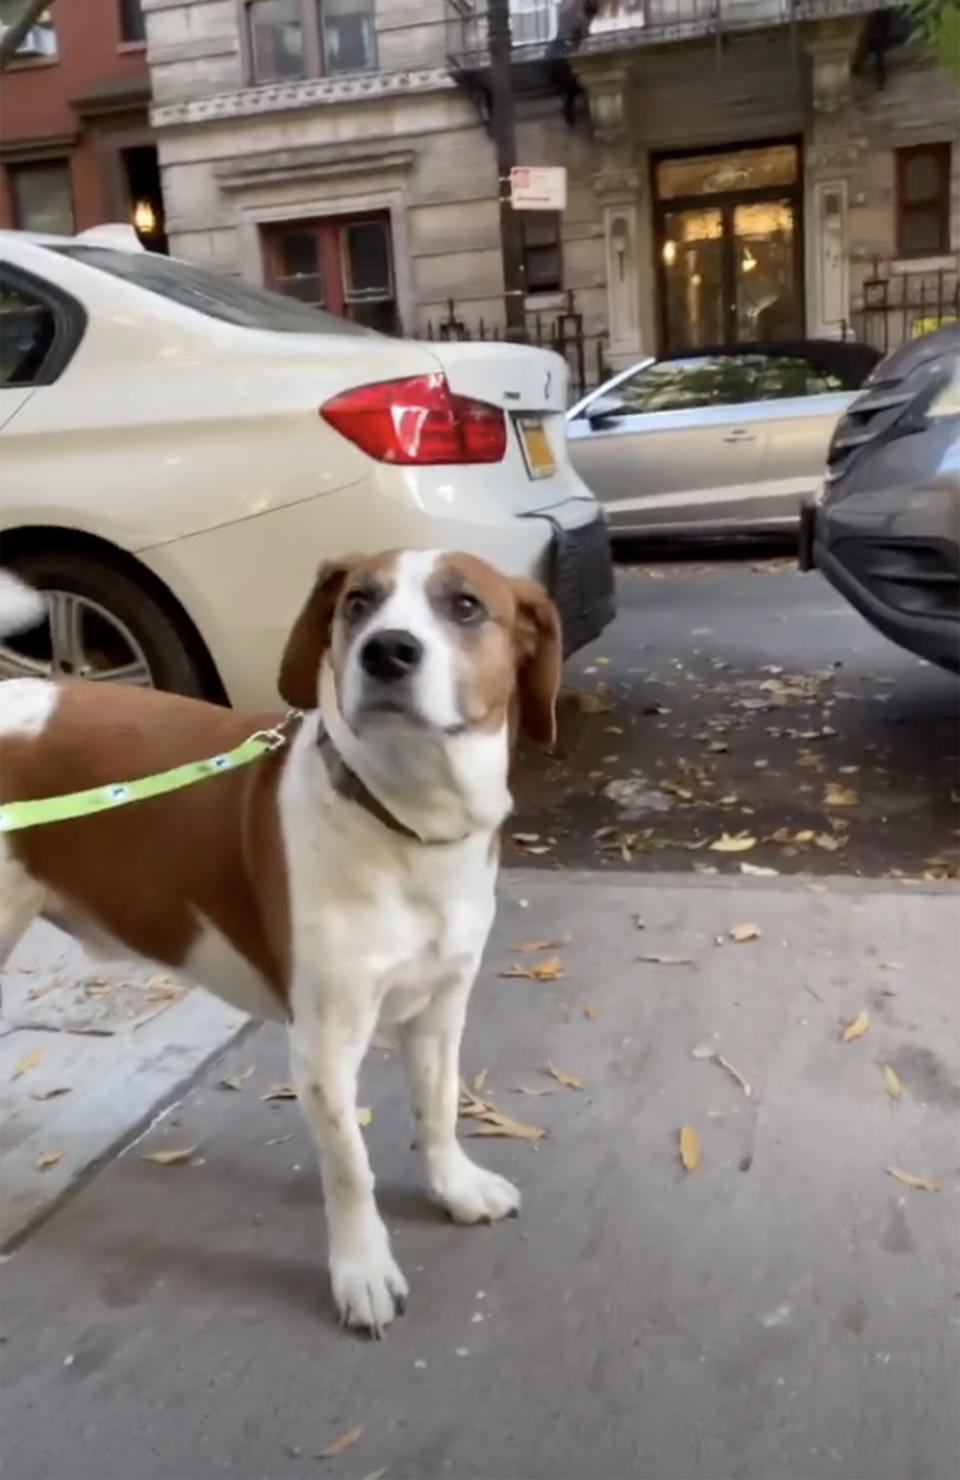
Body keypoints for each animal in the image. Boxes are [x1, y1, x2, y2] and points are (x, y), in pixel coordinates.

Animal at [0, 550, 562, 1337]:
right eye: (358, 602)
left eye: (466, 606)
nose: (387, 651)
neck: (406, 821)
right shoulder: (324, 1044)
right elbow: (350, 1167)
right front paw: (362, 1270)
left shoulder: (441, 1005)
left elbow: (439, 1105)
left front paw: (452, 1187)